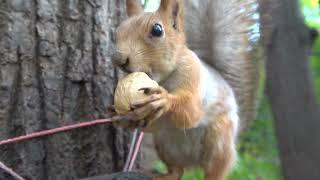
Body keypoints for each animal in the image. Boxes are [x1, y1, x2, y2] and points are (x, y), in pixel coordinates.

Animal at [112, 0, 260, 180]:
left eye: (157, 30)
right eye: (117, 32)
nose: (118, 59)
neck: (163, 79)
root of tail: (193, 162)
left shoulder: (192, 73)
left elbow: (191, 112)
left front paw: (163, 99)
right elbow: (149, 126)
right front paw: (123, 117)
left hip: (219, 139)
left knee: (215, 170)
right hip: (164, 145)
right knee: (177, 171)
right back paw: (164, 175)